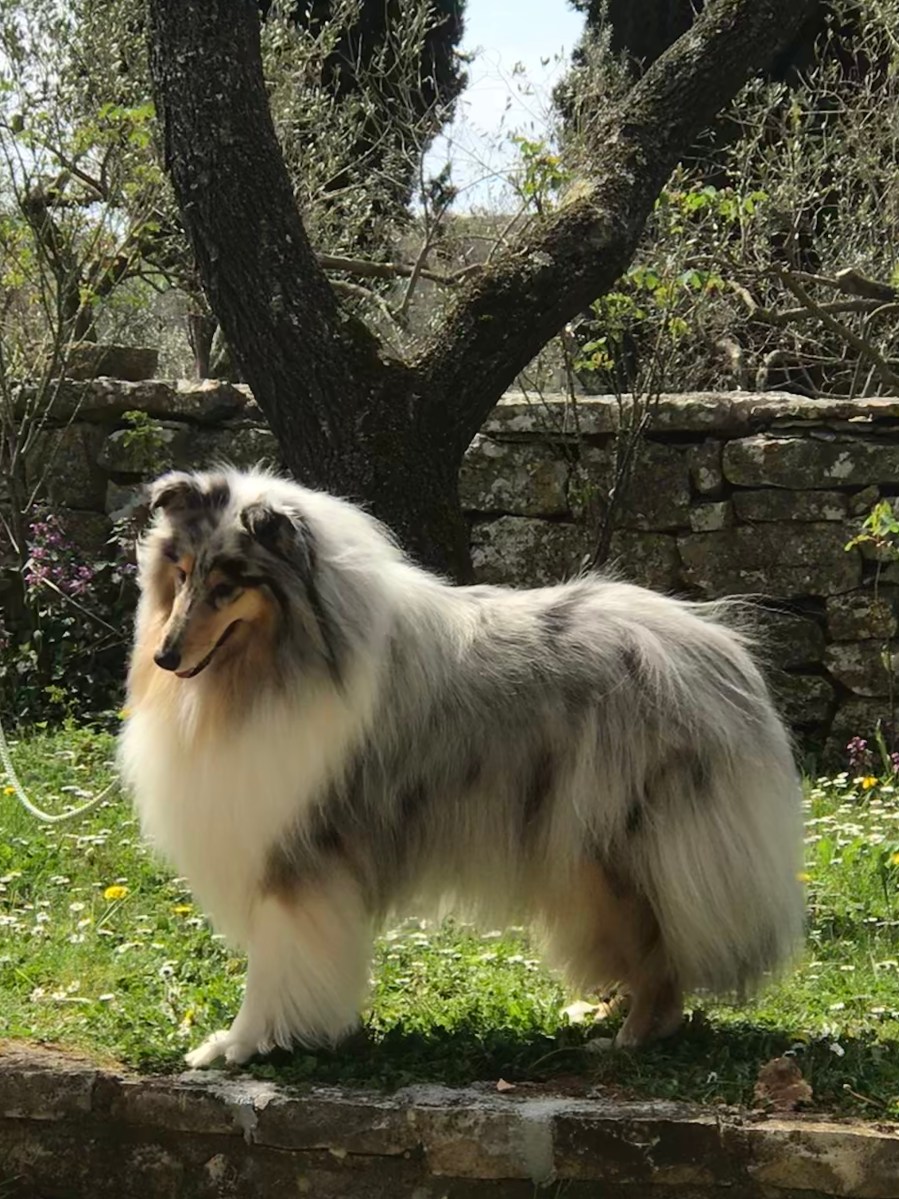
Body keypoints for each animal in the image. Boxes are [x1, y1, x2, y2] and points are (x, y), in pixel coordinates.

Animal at [119, 466, 804, 1068]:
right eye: (181, 573)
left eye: (230, 584)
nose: (165, 657)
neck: (272, 664)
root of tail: (719, 654)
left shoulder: (299, 854)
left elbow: (274, 962)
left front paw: (242, 1046)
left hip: (619, 846)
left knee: (662, 954)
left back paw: (626, 1040)